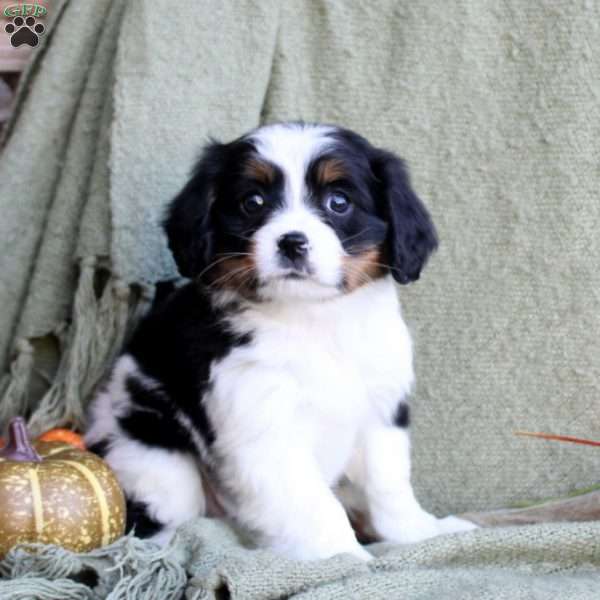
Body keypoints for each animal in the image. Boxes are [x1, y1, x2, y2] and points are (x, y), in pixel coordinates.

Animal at [86, 123, 476, 564]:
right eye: (253, 202)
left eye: (339, 202)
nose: (291, 242)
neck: (313, 321)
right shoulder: (265, 429)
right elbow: (315, 504)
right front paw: (344, 559)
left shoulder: (380, 409)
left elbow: (389, 485)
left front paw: (421, 534)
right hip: (152, 456)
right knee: (163, 517)